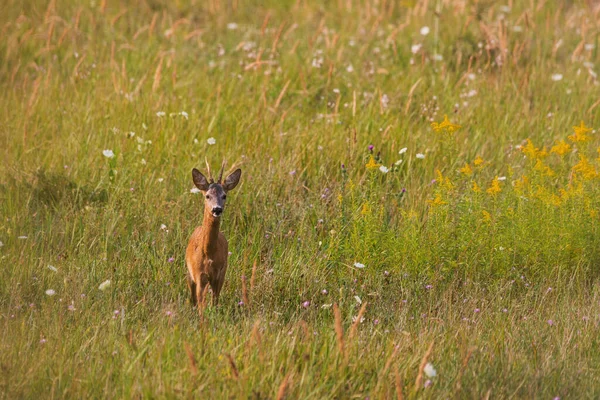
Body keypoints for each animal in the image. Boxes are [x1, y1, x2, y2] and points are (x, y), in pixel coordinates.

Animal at [188, 160, 244, 312]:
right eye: (207, 196)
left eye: (224, 195)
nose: (217, 209)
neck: (209, 253)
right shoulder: (199, 275)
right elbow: (201, 303)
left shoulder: (218, 275)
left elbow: (214, 301)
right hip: (190, 274)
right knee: (193, 297)